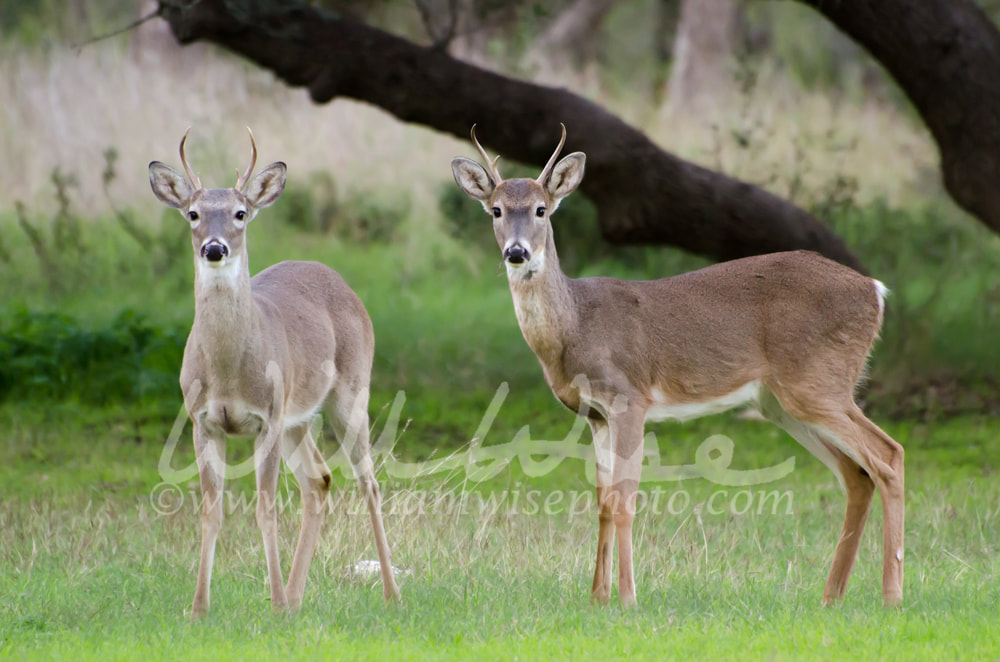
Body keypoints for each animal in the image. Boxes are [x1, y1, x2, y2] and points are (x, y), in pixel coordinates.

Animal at [148, 131, 398, 624]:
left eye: (240, 213)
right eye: (193, 213)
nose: (214, 248)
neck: (228, 371)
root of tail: (339, 280)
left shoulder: (266, 417)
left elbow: (266, 509)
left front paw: (274, 599)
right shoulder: (202, 421)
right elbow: (210, 511)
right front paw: (199, 608)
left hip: (349, 394)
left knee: (369, 482)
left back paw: (389, 594)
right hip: (298, 418)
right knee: (319, 480)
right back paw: (298, 597)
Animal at [454, 124, 908, 608]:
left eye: (541, 209)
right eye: (496, 209)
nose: (516, 252)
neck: (575, 326)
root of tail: (875, 291)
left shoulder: (629, 398)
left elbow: (624, 500)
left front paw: (628, 599)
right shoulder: (595, 414)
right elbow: (602, 501)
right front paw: (597, 597)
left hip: (817, 382)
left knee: (887, 456)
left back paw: (892, 594)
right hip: (784, 401)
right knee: (857, 474)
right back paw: (831, 596)